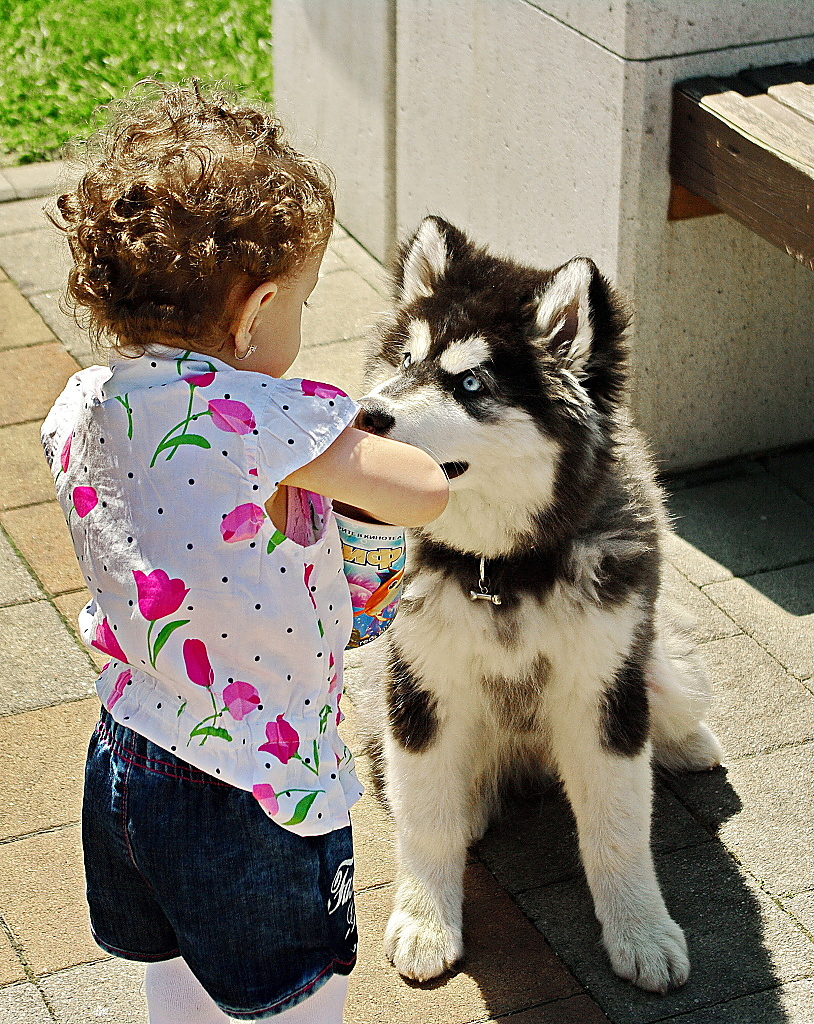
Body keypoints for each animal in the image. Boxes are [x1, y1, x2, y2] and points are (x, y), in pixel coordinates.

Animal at [352, 216, 723, 994]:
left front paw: (641, 931)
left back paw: (689, 744)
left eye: (469, 382)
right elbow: (424, 819)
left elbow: (617, 827)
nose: (366, 415)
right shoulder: (420, 685)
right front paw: (425, 922)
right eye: (405, 359)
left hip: (651, 665)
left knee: (670, 698)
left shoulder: (604, 692)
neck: (504, 569)